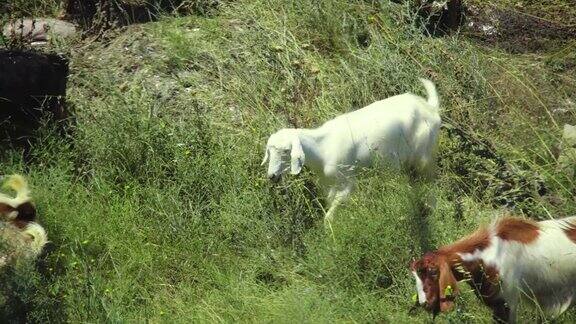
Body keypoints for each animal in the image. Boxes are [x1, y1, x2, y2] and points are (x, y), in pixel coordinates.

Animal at [260, 78, 440, 223]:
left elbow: (330, 216)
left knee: (429, 179)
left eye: (285, 151)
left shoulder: (348, 181)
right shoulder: (328, 185)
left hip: (423, 152)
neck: (322, 149)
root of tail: (430, 108)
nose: (272, 176)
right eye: (269, 151)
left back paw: (430, 208)